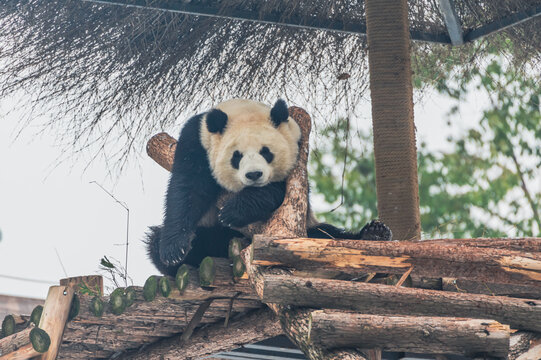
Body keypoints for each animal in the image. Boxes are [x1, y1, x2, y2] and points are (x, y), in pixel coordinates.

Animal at [146, 98, 390, 276]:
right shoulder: (196, 141)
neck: (243, 110)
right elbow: (187, 191)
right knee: (159, 241)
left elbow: (279, 190)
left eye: (266, 152)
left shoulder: (297, 149)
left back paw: (373, 234)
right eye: (236, 156)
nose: (254, 174)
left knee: (326, 236)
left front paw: (235, 210)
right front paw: (174, 249)